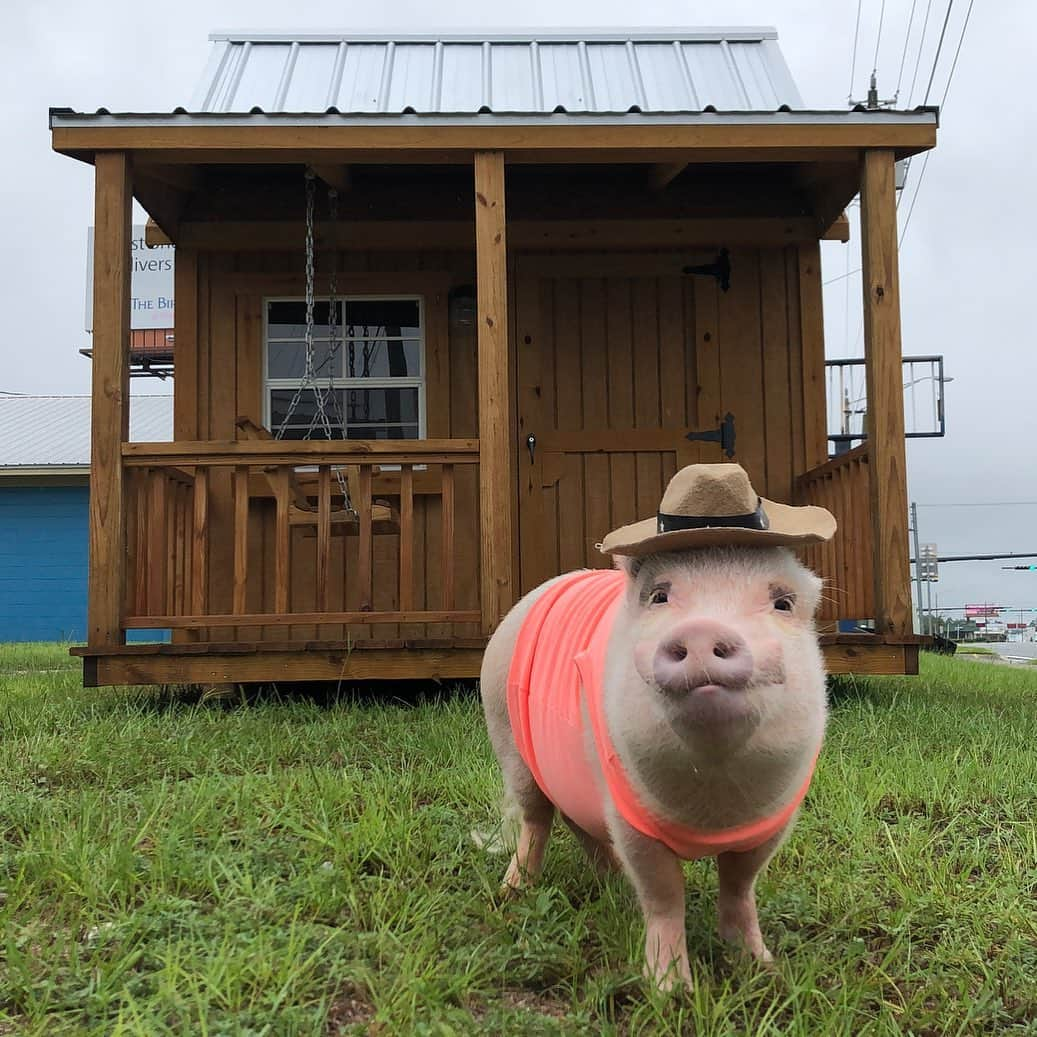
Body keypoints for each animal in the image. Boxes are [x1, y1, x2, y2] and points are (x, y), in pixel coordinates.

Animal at [477, 543, 825, 987]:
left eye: (783, 602)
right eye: (659, 596)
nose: (701, 629)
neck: (712, 807)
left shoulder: (772, 822)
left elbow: (740, 885)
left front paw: (761, 967)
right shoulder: (630, 817)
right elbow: (664, 893)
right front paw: (671, 990)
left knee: (577, 822)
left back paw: (613, 880)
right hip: (507, 738)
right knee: (535, 820)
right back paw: (513, 892)